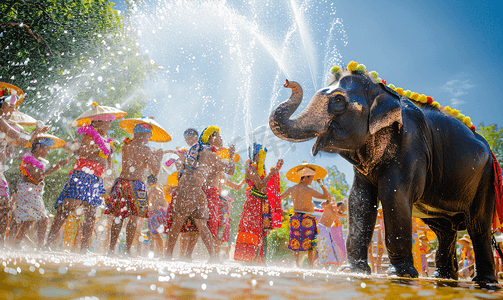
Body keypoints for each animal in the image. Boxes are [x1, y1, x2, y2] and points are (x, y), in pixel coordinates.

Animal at [270, 66, 498, 284]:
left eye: (338, 100)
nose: (287, 82)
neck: (382, 91)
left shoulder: (411, 143)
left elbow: (393, 194)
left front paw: (401, 275)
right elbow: (359, 200)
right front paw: (352, 271)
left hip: (485, 179)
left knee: (478, 226)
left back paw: (484, 281)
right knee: (444, 229)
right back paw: (443, 277)